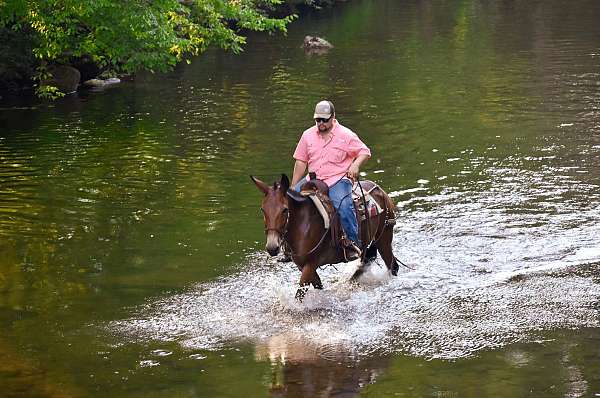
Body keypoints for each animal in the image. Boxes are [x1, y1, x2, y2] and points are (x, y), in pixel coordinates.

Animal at [251, 173, 400, 300]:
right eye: (263, 209)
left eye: (284, 210)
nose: (272, 247)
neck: (304, 224)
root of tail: (378, 189)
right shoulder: (302, 265)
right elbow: (318, 285)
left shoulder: (310, 264)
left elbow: (299, 294)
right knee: (365, 262)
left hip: (384, 238)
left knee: (392, 265)